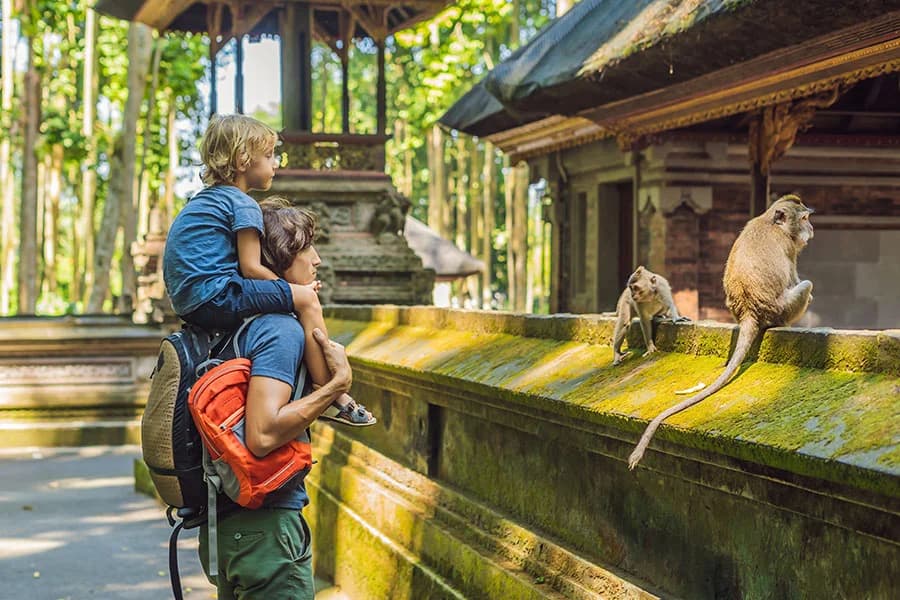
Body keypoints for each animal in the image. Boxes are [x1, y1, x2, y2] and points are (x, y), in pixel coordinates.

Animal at [627, 194, 815, 470]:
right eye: (804, 218)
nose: (811, 228)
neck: (772, 223)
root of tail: (749, 312)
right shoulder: (789, 249)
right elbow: (795, 280)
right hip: (782, 309)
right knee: (804, 286)